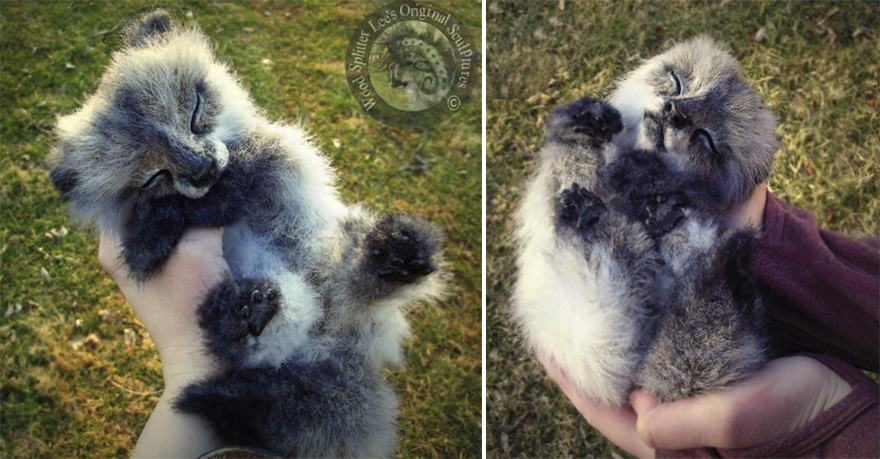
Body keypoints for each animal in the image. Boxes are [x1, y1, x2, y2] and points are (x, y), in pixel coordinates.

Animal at [49, 10, 445, 456]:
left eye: (195, 110)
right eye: (153, 176)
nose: (201, 168)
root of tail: (331, 343)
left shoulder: (272, 159)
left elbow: (217, 193)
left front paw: (148, 236)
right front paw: (147, 239)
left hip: (338, 273)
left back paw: (394, 253)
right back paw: (238, 330)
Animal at [513, 37, 774, 406]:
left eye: (706, 138)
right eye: (678, 82)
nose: (674, 111)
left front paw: (647, 181)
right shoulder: (559, 182)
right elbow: (570, 153)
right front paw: (589, 120)